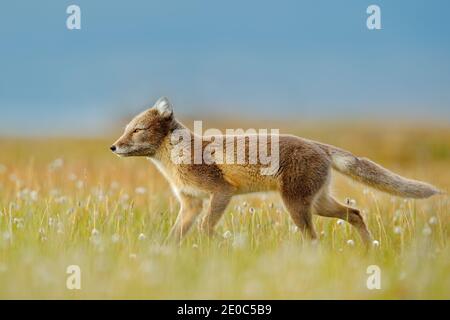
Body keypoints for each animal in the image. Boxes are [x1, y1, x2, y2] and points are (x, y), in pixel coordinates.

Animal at [110, 96, 442, 244]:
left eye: (137, 130)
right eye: (126, 129)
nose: (113, 147)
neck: (175, 159)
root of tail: (317, 144)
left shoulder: (221, 192)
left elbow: (206, 229)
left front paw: (214, 247)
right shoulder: (191, 203)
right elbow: (174, 236)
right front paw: (166, 254)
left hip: (297, 206)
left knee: (315, 237)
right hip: (318, 204)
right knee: (355, 213)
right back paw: (369, 248)